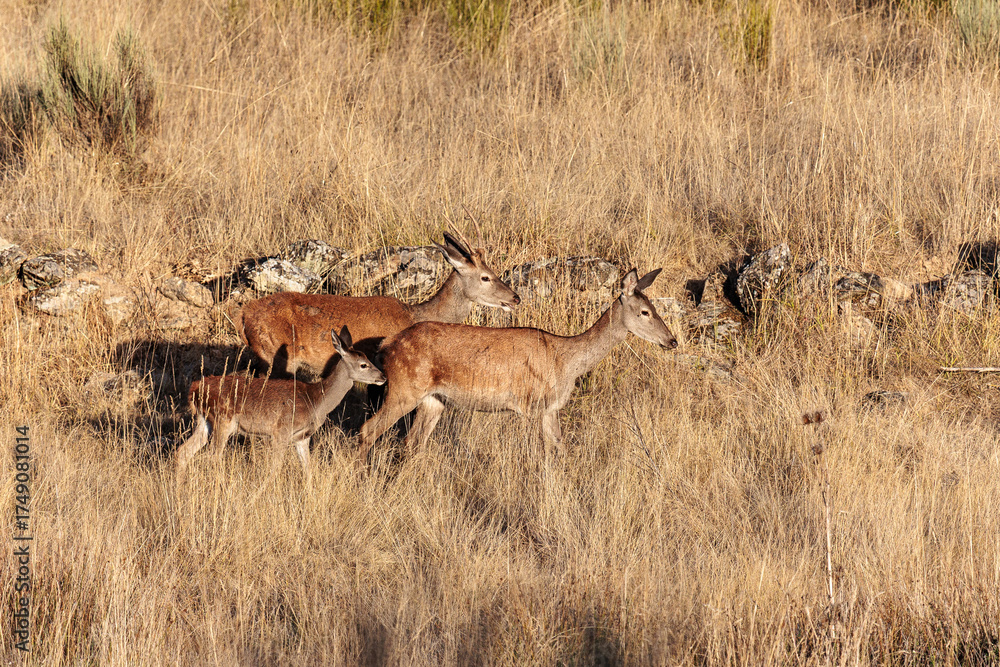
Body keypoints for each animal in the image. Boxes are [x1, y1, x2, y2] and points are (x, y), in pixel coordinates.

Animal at [175, 326, 385, 483]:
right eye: (363, 364)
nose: (383, 377)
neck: (315, 400)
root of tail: (194, 388)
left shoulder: (302, 437)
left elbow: (308, 470)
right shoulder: (280, 432)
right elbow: (274, 470)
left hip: (205, 421)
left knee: (183, 451)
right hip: (223, 420)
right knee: (212, 457)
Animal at [358, 268, 678, 463]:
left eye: (656, 308)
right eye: (645, 312)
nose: (672, 340)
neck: (565, 360)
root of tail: (387, 345)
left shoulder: (550, 408)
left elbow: (562, 449)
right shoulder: (532, 404)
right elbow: (542, 455)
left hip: (434, 399)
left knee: (413, 442)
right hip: (405, 388)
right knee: (368, 430)